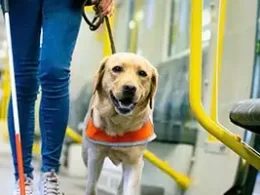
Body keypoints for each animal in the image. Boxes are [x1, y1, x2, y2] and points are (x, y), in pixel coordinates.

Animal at [82, 52, 157, 195]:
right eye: (117, 69)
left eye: (142, 73)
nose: (130, 88)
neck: (118, 122)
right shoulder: (95, 157)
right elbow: (91, 187)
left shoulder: (134, 162)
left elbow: (130, 189)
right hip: (85, 153)